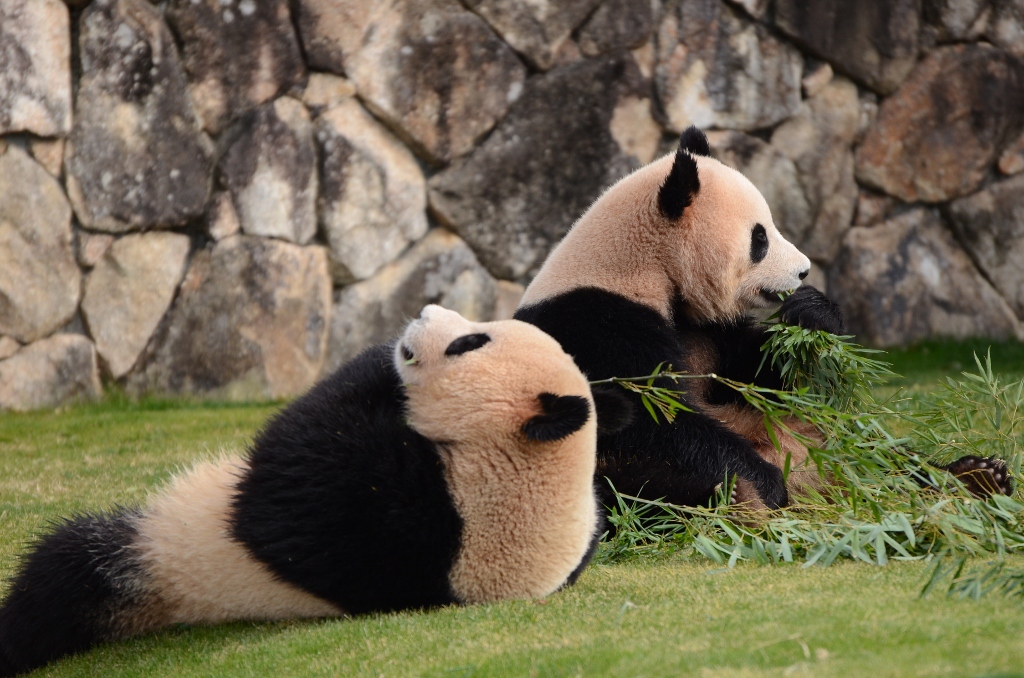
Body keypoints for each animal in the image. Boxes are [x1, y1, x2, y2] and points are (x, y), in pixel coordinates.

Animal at [0, 307, 626, 678]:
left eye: (470, 342)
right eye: (479, 328)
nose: (424, 313)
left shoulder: (408, 527)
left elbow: (289, 486)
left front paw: (380, 362)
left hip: (157, 558)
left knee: (62, 580)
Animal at [516, 125, 1011, 510]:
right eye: (760, 238)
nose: (804, 270)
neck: (647, 270)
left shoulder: (706, 328)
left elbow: (760, 374)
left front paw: (811, 315)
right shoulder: (596, 324)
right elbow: (648, 421)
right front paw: (764, 482)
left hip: (829, 436)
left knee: (872, 448)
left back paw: (974, 476)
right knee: (634, 486)